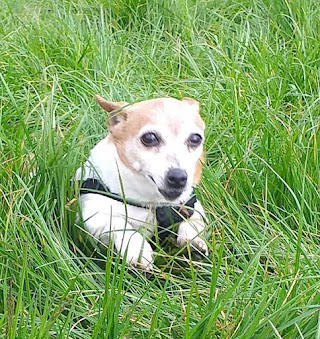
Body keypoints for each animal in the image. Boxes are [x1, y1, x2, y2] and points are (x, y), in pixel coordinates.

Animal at [76, 95, 209, 270]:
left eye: (195, 139)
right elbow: (120, 224)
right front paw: (137, 250)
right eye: (149, 138)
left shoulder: (192, 206)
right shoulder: (93, 216)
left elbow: (192, 220)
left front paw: (192, 241)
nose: (179, 177)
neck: (152, 202)